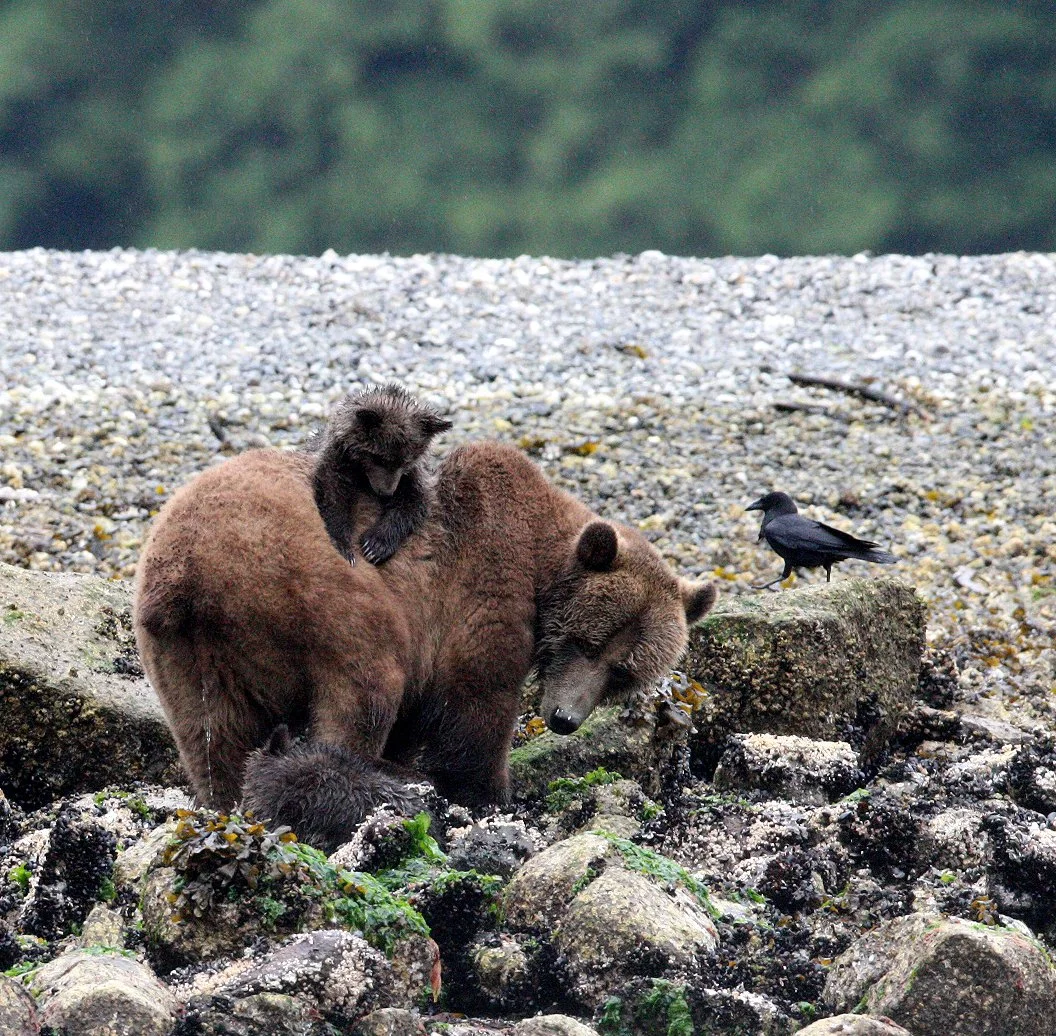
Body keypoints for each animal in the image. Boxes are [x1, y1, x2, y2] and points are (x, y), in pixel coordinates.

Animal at [133, 439, 716, 812]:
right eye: (586, 643)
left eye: (624, 672)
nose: (564, 719)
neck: (542, 564)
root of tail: (187, 569)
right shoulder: (482, 592)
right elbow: (475, 706)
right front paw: (491, 793)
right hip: (317, 592)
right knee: (362, 693)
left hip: (191, 648)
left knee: (212, 733)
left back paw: (231, 795)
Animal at [306, 383, 451, 565]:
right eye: (379, 458)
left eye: (406, 460)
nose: (387, 492)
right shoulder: (336, 458)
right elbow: (333, 493)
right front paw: (343, 545)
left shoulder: (413, 474)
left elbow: (414, 500)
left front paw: (375, 545)